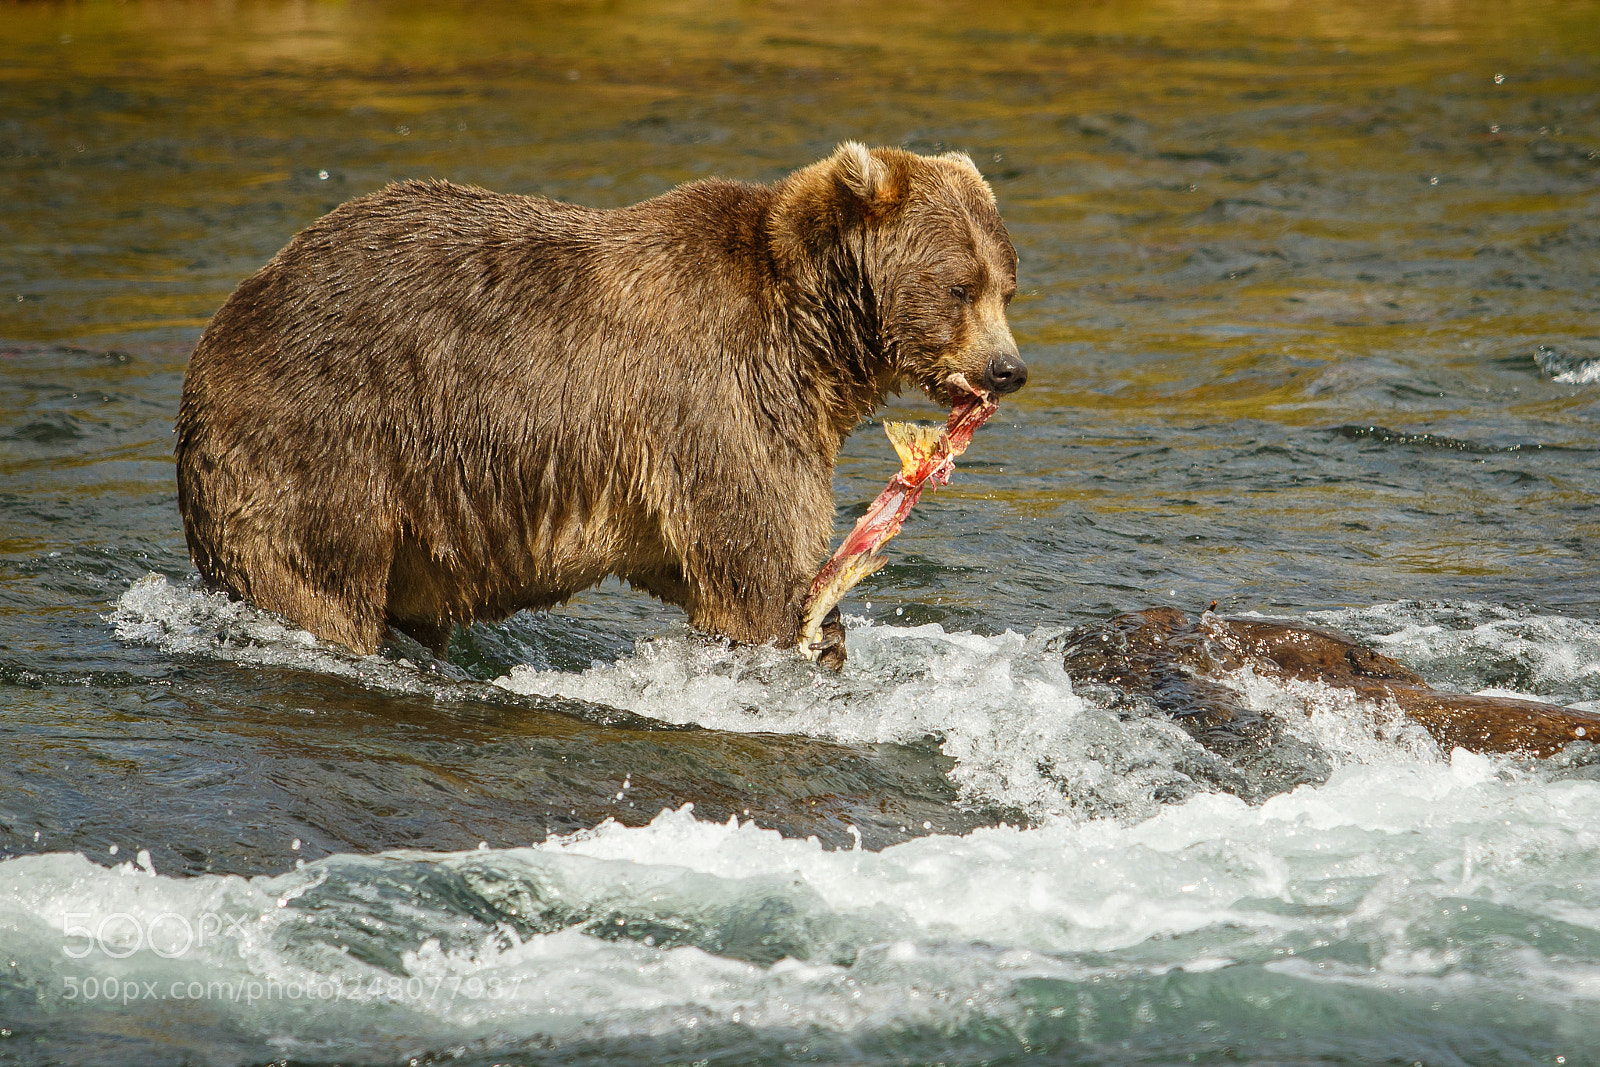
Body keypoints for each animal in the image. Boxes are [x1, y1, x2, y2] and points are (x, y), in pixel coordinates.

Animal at [174, 142, 1026, 666]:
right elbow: (750, 548)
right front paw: (807, 627)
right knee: (316, 577)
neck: (816, 338)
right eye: (960, 286)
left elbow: (690, 558)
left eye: (1006, 284)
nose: (1008, 368)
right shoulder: (718, 390)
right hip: (324, 436)